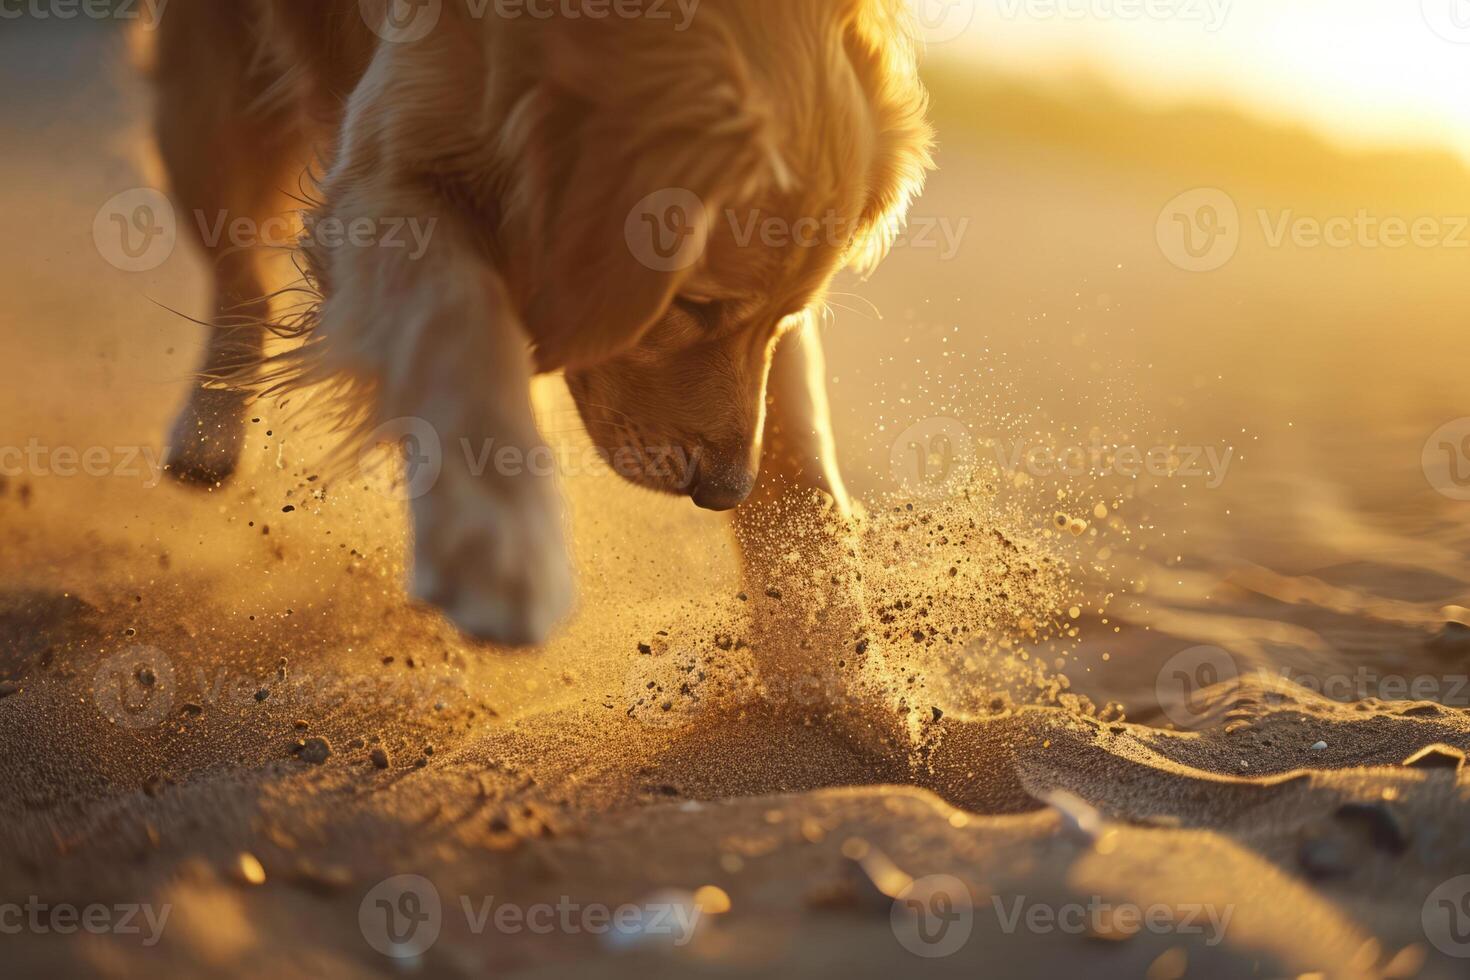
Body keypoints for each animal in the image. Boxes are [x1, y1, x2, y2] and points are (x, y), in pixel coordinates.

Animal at [146, 3, 929, 646]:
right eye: (691, 306)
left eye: (787, 316)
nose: (725, 491)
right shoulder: (388, 173)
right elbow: (455, 324)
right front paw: (498, 546)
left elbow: (801, 451)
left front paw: (848, 665)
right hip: (211, 107)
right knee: (241, 278)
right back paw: (207, 430)